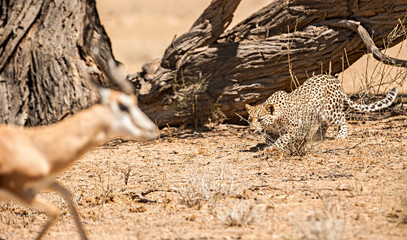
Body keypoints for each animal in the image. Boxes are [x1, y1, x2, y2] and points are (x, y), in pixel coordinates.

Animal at [0, 47, 158, 240]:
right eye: (123, 106)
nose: (151, 129)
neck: (36, 147)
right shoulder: (18, 189)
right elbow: (55, 211)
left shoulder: (38, 185)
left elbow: (67, 195)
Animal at [245, 74, 398, 151]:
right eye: (250, 119)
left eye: (260, 119)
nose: (251, 129)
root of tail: (336, 80)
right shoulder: (272, 131)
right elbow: (270, 138)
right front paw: (265, 145)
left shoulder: (296, 130)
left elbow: (283, 139)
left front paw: (272, 148)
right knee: (324, 124)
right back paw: (318, 136)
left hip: (330, 112)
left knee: (342, 118)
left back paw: (341, 135)